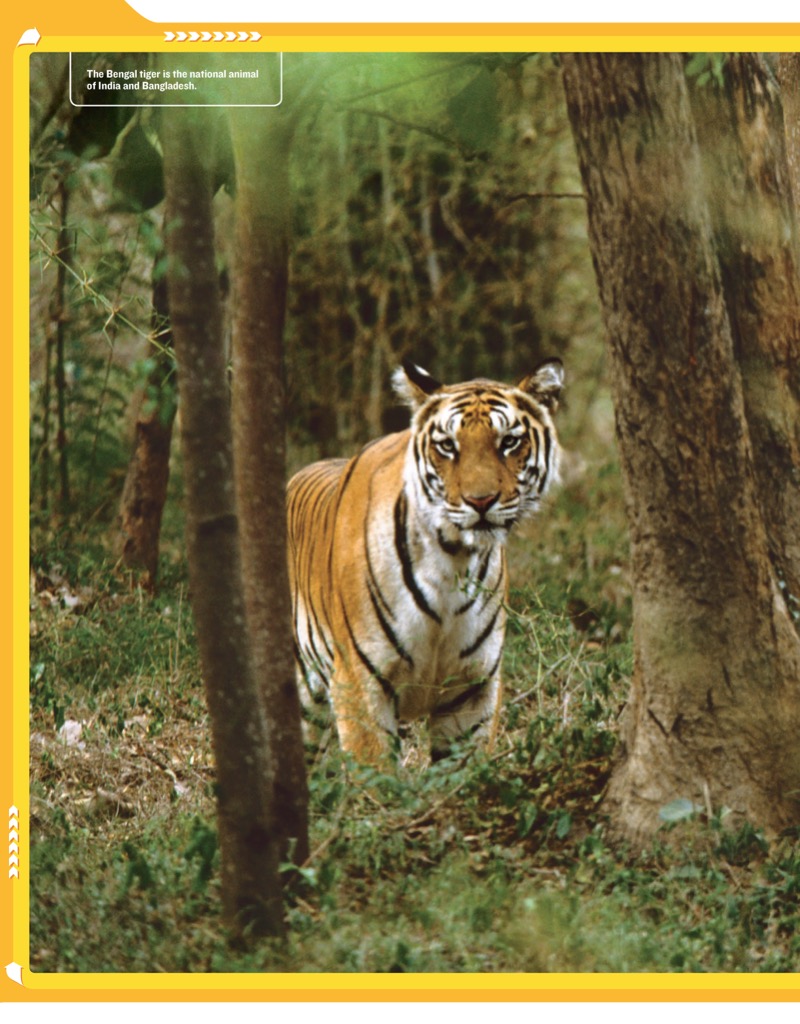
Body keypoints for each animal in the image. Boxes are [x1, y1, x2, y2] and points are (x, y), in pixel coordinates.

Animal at [286, 358, 564, 765]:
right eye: (448, 446)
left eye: (509, 442)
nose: (481, 501)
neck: (453, 560)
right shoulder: (359, 682)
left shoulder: (472, 691)